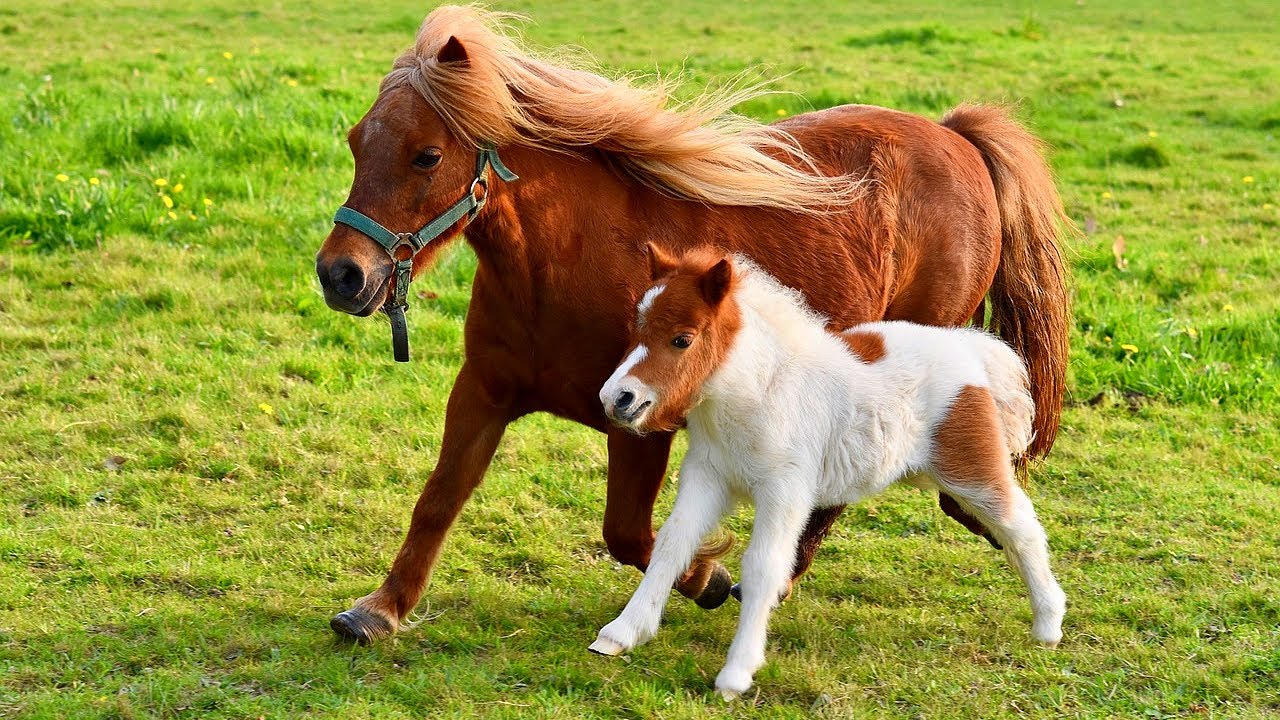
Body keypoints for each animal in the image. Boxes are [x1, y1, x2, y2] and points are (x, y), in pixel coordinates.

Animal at [313, 6, 1071, 644]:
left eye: (427, 155)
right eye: (354, 142)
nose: (340, 275)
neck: (563, 262)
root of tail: (956, 137)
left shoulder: (641, 421)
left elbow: (630, 534)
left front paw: (708, 576)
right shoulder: (483, 392)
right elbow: (440, 499)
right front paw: (379, 610)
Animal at [592, 246, 1067, 698]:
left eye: (682, 339)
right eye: (636, 329)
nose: (616, 398)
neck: (759, 392)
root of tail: (970, 348)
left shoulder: (785, 492)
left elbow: (764, 566)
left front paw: (736, 675)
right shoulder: (708, 477)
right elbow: (672, 544)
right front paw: (621, 633)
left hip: (971, 469)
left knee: (1020, 527)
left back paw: (1048, 623)